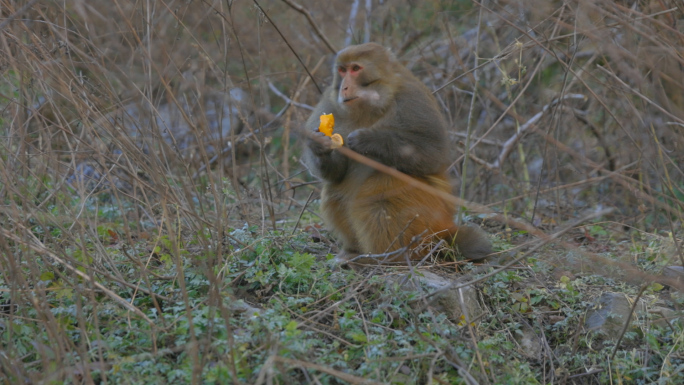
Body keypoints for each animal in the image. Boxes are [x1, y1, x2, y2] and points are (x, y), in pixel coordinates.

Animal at [304, 42, 492, 264]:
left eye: (355, 68)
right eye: (342, 70)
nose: (344, 87)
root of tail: (445, 228)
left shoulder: (413, 99)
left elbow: (433, 154)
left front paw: (368, 139)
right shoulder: (329, 104)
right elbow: (336, 173)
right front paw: (319, 146)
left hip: (432, 219)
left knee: (384, 190)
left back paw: (388, 258)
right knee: (334, 190)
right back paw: (354, 252)